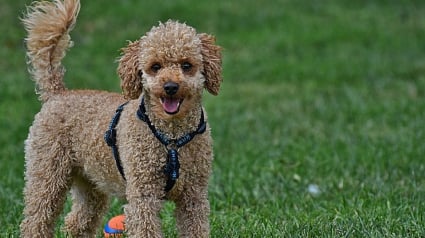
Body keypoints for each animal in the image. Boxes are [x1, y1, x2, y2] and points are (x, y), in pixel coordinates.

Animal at [19, 0, 222, 236]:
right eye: (155, 66)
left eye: (186, 65)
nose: (170, 87)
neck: (171, 137)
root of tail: (57, 93)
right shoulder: (143, 195)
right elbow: (145, 228)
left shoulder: (193, 196)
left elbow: (196, 227)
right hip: (47, 174)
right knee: (36, 219)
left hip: (91, 183)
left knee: (76, 222)